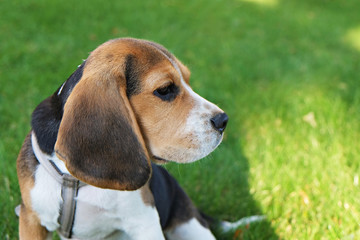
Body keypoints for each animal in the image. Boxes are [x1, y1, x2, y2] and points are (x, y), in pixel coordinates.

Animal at [16, 38, 228, 239]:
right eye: (165, 89)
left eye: (188, 80)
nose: (223, 120)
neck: (74, 179)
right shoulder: (31, 220)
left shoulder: (144, 222)